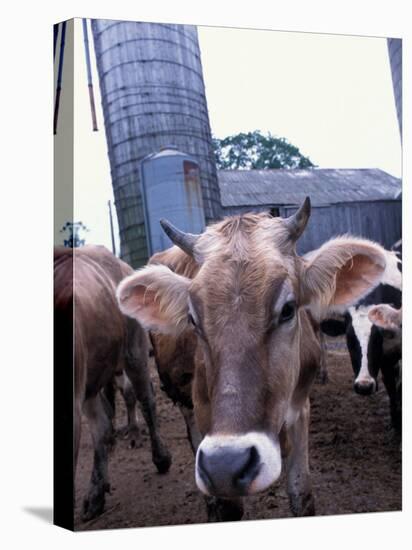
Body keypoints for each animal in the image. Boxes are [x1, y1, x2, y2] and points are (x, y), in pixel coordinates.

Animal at [117, 201, 388, 524]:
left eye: (288, 309)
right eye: (192, 319)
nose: (227, 464)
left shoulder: (300, 407)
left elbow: (302, 496)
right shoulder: (204, 418)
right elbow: (228, 507)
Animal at [320, 248, 400, 434]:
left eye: (378, 337)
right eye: (349, 338)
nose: (364, 386)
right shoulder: (386, 360)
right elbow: (391, 387)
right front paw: (395, 422)